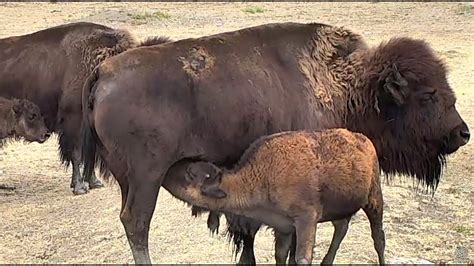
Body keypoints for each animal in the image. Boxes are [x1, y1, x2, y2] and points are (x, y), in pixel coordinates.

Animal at [167, 129, 386, 264]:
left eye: (190, 173)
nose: (169, 169)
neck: (263, 174)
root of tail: (364, 140)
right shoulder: (283, 227)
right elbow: (280, 255)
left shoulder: (306, 219)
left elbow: (301, 258)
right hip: (342, 207)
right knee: (341, 229)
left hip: (374, 199)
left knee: (378, 238)